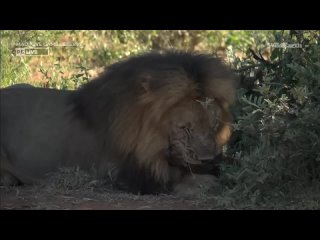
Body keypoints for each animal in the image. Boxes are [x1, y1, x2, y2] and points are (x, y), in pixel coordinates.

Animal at [0, 51, 238, 195]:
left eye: (214, 125)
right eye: (184, 128)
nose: (208, 158)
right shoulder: (118, 174)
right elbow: (179, 180)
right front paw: (211, 181)